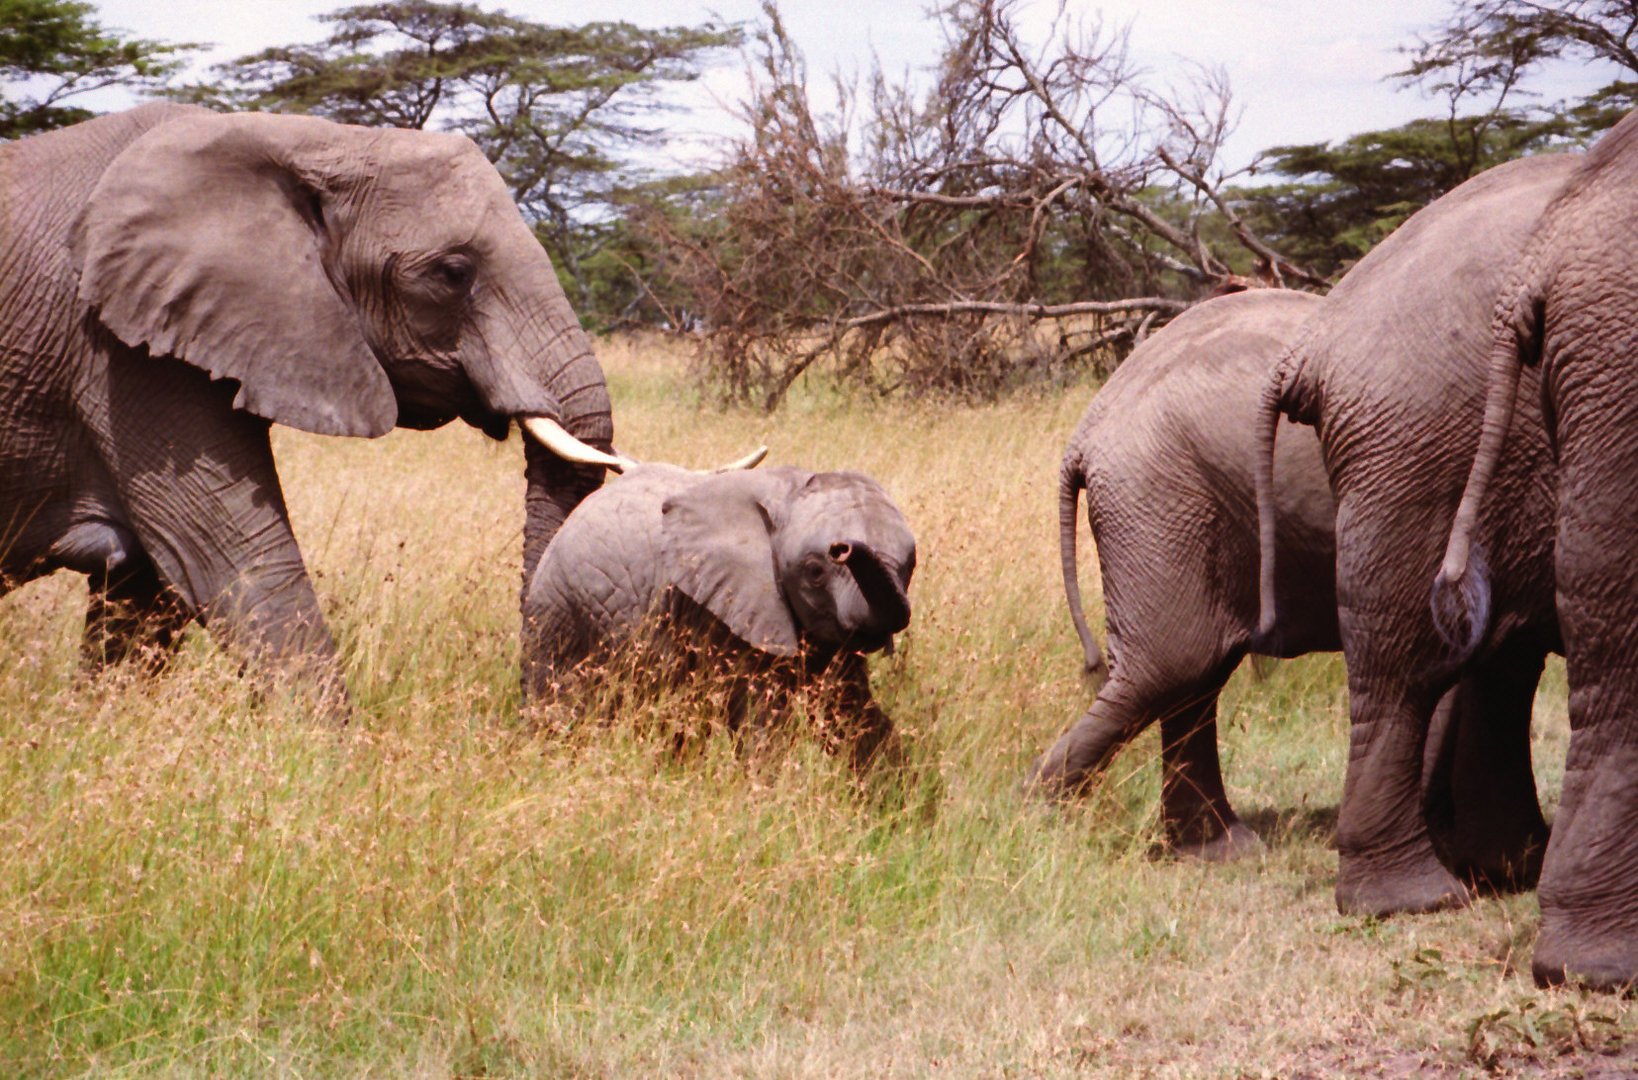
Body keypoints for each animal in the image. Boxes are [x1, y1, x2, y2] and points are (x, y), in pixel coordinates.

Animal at [0, 103, 619, 711]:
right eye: (452, 274)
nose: (533, 717)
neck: (312, 140)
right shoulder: (121, 352)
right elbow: (229, 562)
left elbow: (149, 588)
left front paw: (100, 719)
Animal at [524, 462, 917, 770]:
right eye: (816, 571)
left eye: (910, 566)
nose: (843, 547)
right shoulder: (722, 609)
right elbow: (762, 719)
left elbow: (856, 711)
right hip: (559, 612)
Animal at [1028, 290, 1539, 884]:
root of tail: (1087, 431)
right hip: (1157, 496)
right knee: (1172, 667)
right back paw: (1039, 819)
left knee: (1194, 676)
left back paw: (1216, 848)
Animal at [1251, 149, 1572, 911]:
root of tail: (1312, 345)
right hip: (1417, 446)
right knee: (1405, 666)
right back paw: (1418, 898)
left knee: (1496, 658)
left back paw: (1509, 868)